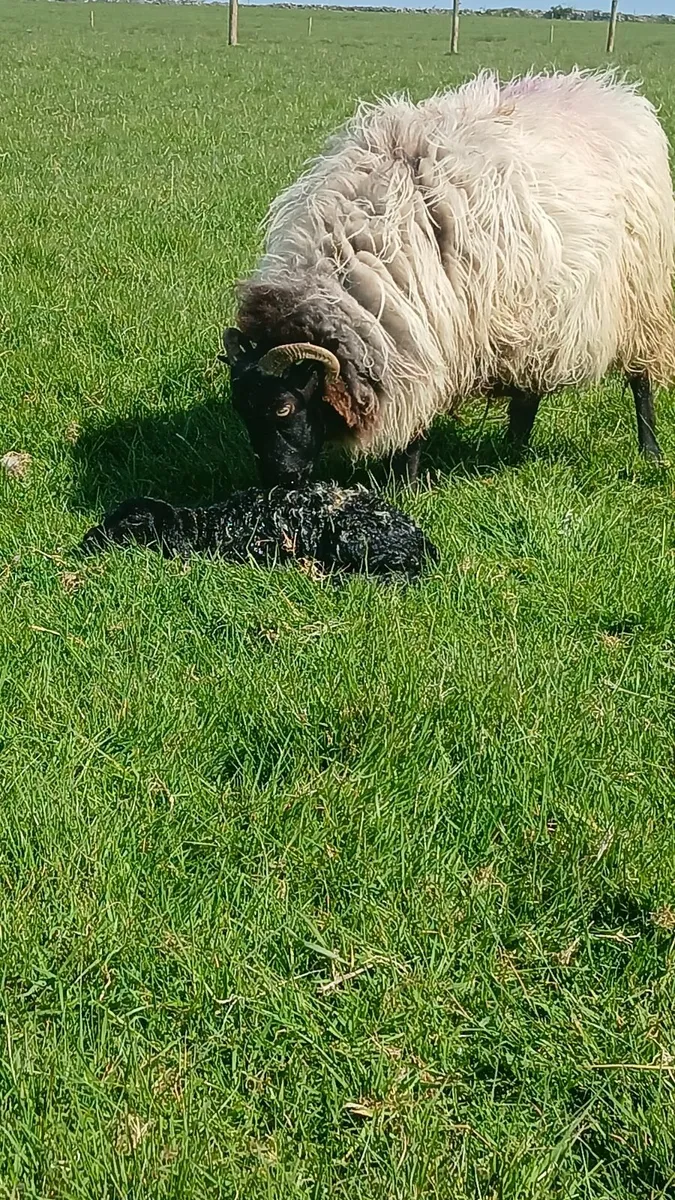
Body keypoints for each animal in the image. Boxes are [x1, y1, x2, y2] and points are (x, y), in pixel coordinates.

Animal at [221, 69, 675, 485]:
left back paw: (649, 451)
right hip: (534, 307)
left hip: (641, 298)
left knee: (640, 379)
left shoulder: (425, 338)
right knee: (530, 384)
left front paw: (405, 485)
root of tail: (616, 95)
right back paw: (513, 448)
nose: (277, 482)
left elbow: (415, 427)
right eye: (240, 410)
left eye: (283, 407)